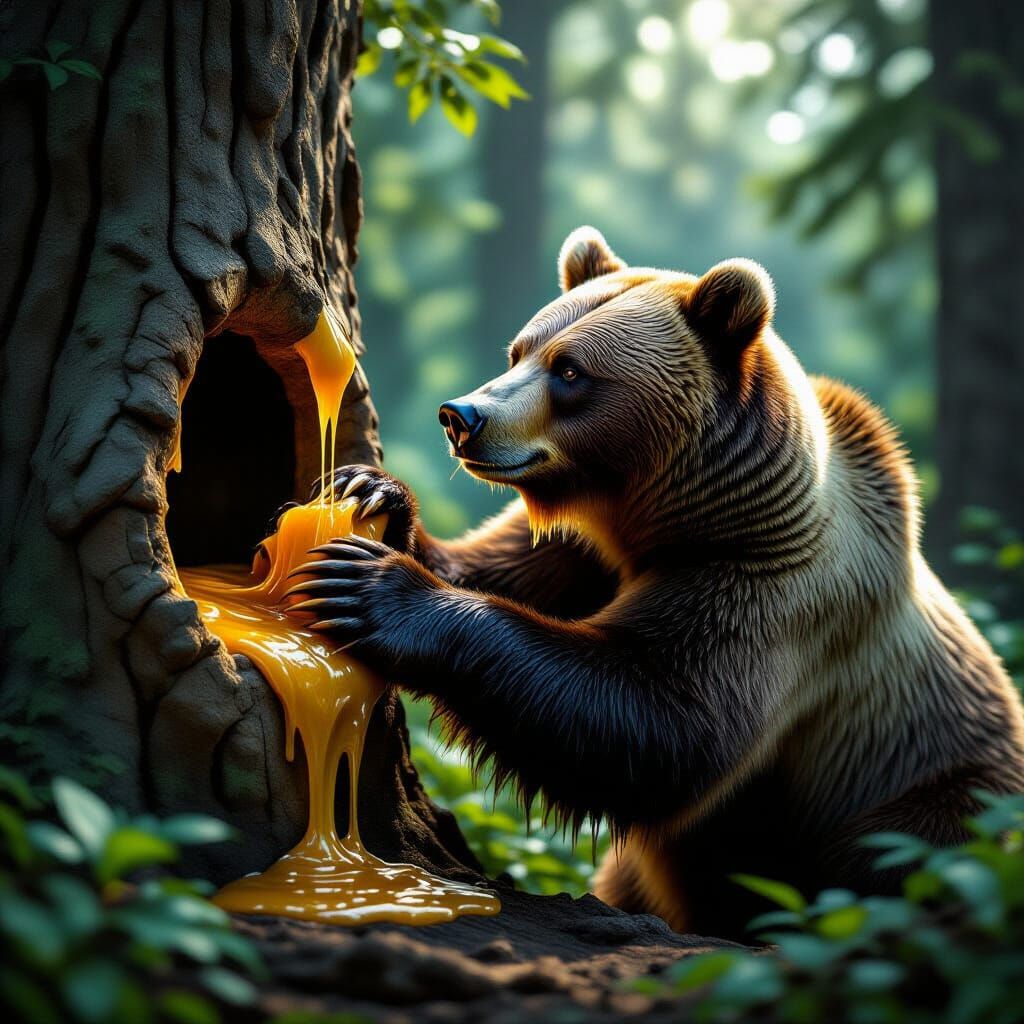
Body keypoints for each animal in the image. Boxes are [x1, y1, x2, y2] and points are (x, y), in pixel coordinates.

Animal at [286, 226, 1024, 940]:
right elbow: (502, 570)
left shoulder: (768, 581)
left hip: (932, 797)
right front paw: (373, 491)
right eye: (519, 350)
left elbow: (664, 722)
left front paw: (371, 587)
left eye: (571, 370)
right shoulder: (583, 550)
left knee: (899, 866)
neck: (666, 515)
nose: (461, 416)